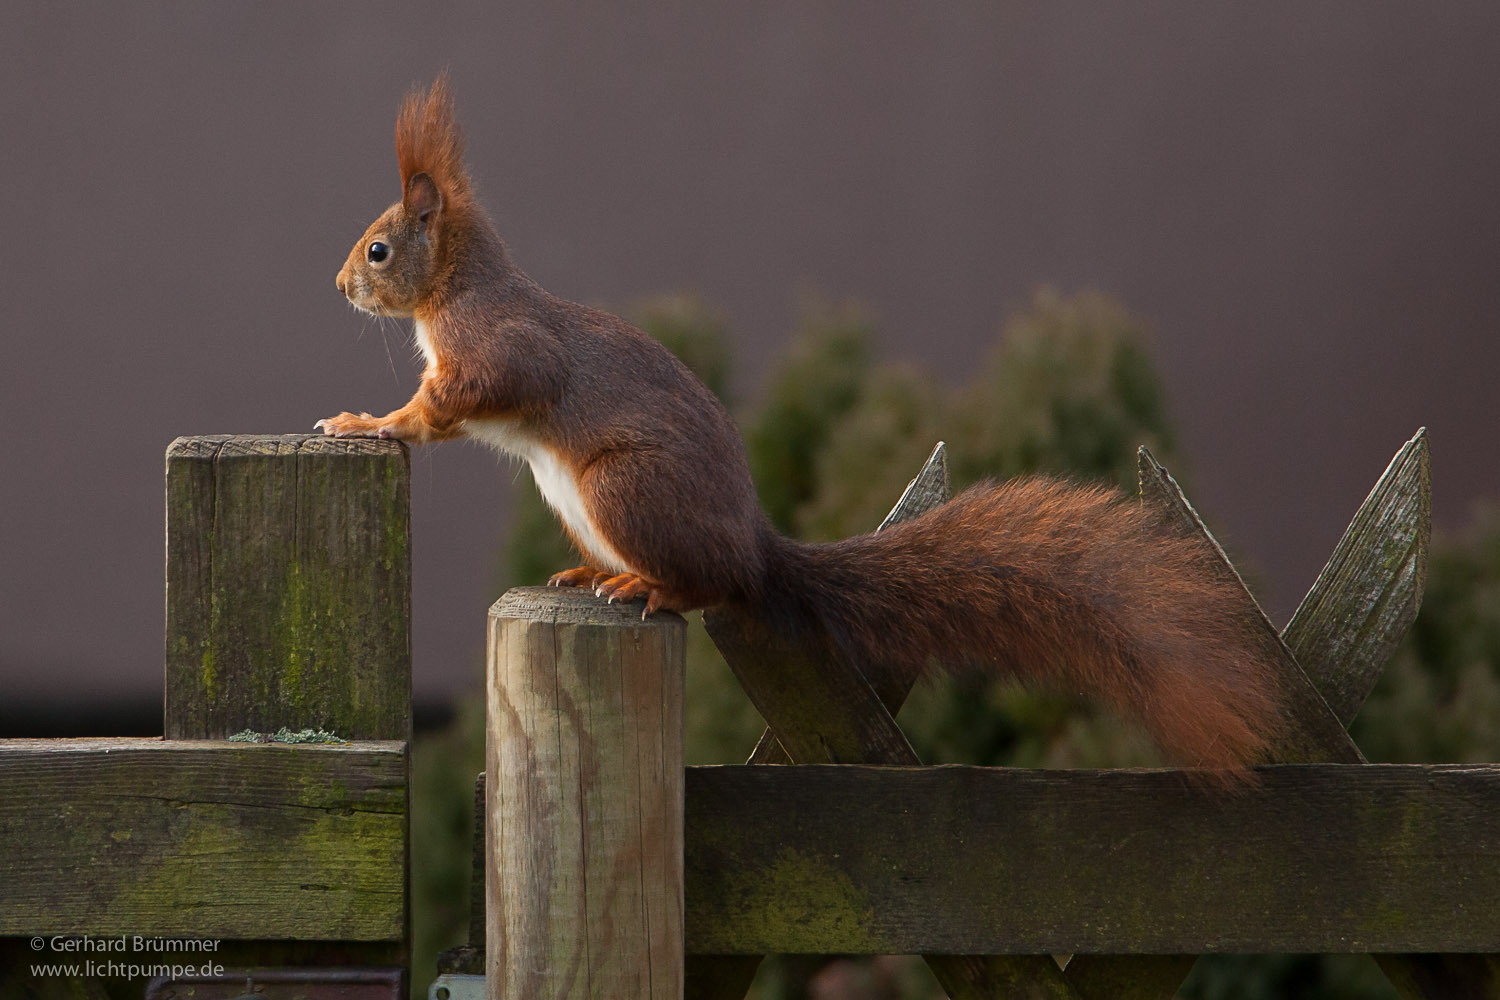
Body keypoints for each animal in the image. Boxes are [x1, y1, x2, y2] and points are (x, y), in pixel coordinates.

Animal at [322, 80, 1284, 779]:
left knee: (710, 586)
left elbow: (457, 400)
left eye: (379, 250)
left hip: (622, 486)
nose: (339, 287)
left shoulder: (500, 352)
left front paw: (367, 421)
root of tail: (758, 548)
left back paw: (648, 587)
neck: (454, 290)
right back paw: (592, 573)